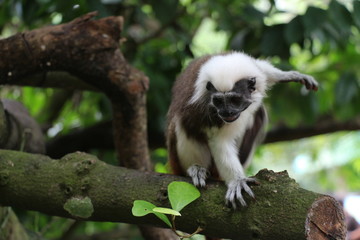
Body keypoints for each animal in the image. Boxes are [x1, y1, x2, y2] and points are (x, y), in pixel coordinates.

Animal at [166, 51, 318, 208]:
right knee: (183, 123)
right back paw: (195, 169)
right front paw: (237, 181)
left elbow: (263, 69)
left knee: (258, 116)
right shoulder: (209, 113)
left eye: (235, 100)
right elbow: (220, 142)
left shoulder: (255, 73)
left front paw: (289, 75)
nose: (227, 113)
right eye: (218, 101)